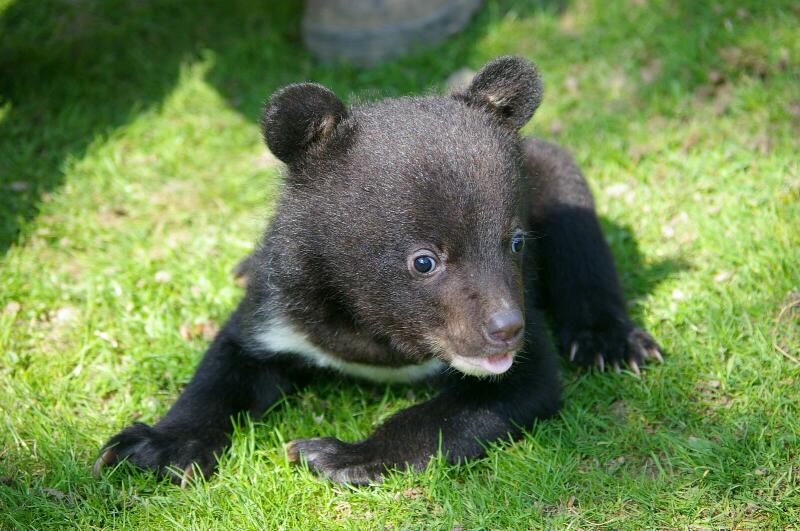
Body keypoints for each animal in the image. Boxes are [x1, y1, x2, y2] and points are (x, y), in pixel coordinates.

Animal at [93, 56, 662, 486]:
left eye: (516, 243)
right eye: (424, 261)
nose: (506, 329)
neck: (376, 330)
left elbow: (503, 392)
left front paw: (337, 454)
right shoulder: (283, 299)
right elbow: (225, 365)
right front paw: (149, 448)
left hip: (560, 180)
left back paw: (611, 343)